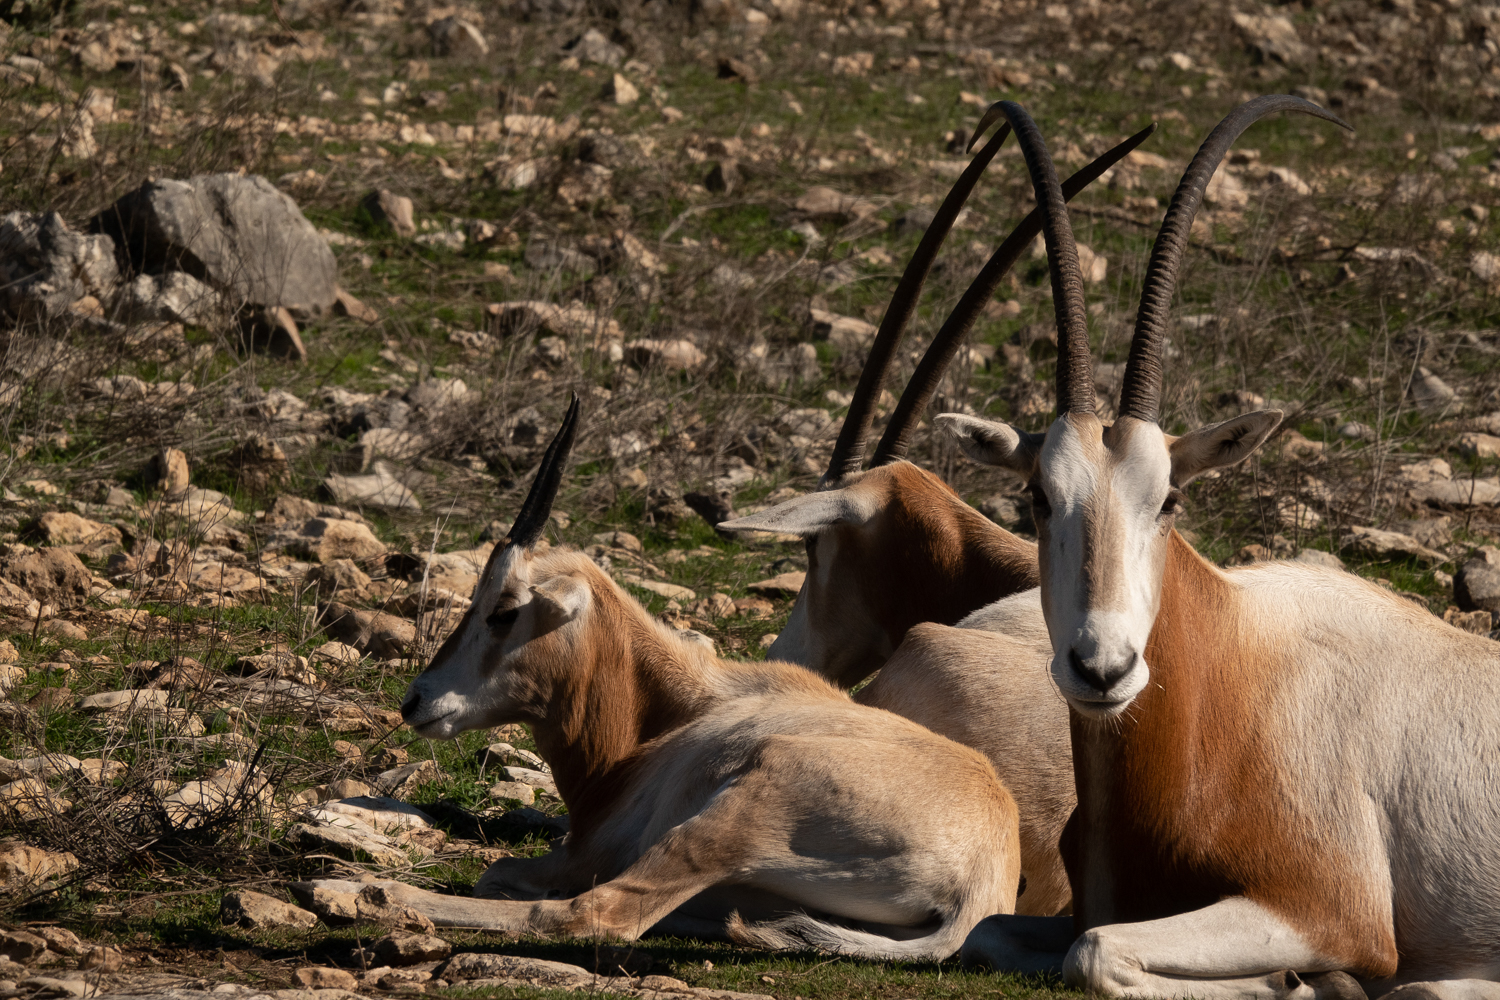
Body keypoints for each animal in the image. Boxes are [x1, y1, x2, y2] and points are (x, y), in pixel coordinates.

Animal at [376, 398, 1024, 960]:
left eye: (504, 610)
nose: (416, 701)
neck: (679, 708)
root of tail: (981, 876)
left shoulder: (584, 854)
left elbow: (499, 873)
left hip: (733, 818)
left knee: (596, 914)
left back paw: (383, 896)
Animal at [942, 96, 1500, 1000]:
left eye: (1169, 498)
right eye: (1037, 497)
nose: (1102, 668)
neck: (1228, 676)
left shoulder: (1333, 911)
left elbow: (1093, 949)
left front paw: (1294, 982)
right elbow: (991, 933)